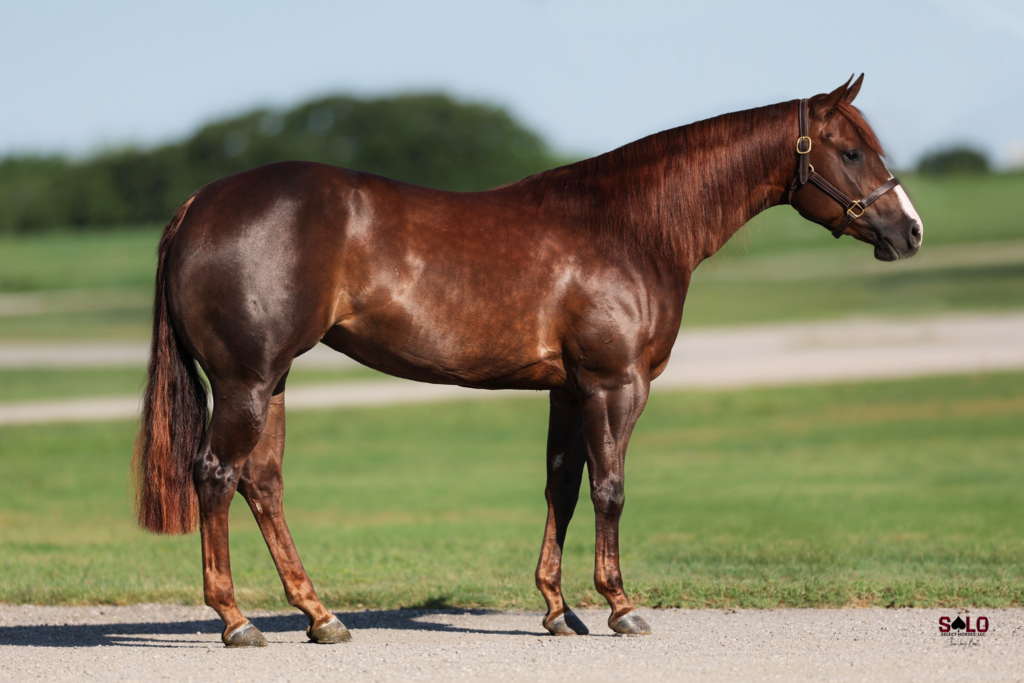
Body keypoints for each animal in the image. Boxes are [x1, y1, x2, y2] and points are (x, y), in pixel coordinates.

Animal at [132, 75, 923, 646]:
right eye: (852, 151)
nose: (909, 230)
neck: (627, 227)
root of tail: (200, 204)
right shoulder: (614, 385)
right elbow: (610, 490)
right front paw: (620, 606)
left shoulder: (569, 391)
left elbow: (561, 489)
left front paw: (557, 610)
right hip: (246, 380)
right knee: (217, 475)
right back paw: (237, 621)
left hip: (272, 381)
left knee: (262, 483)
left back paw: (322, 616)